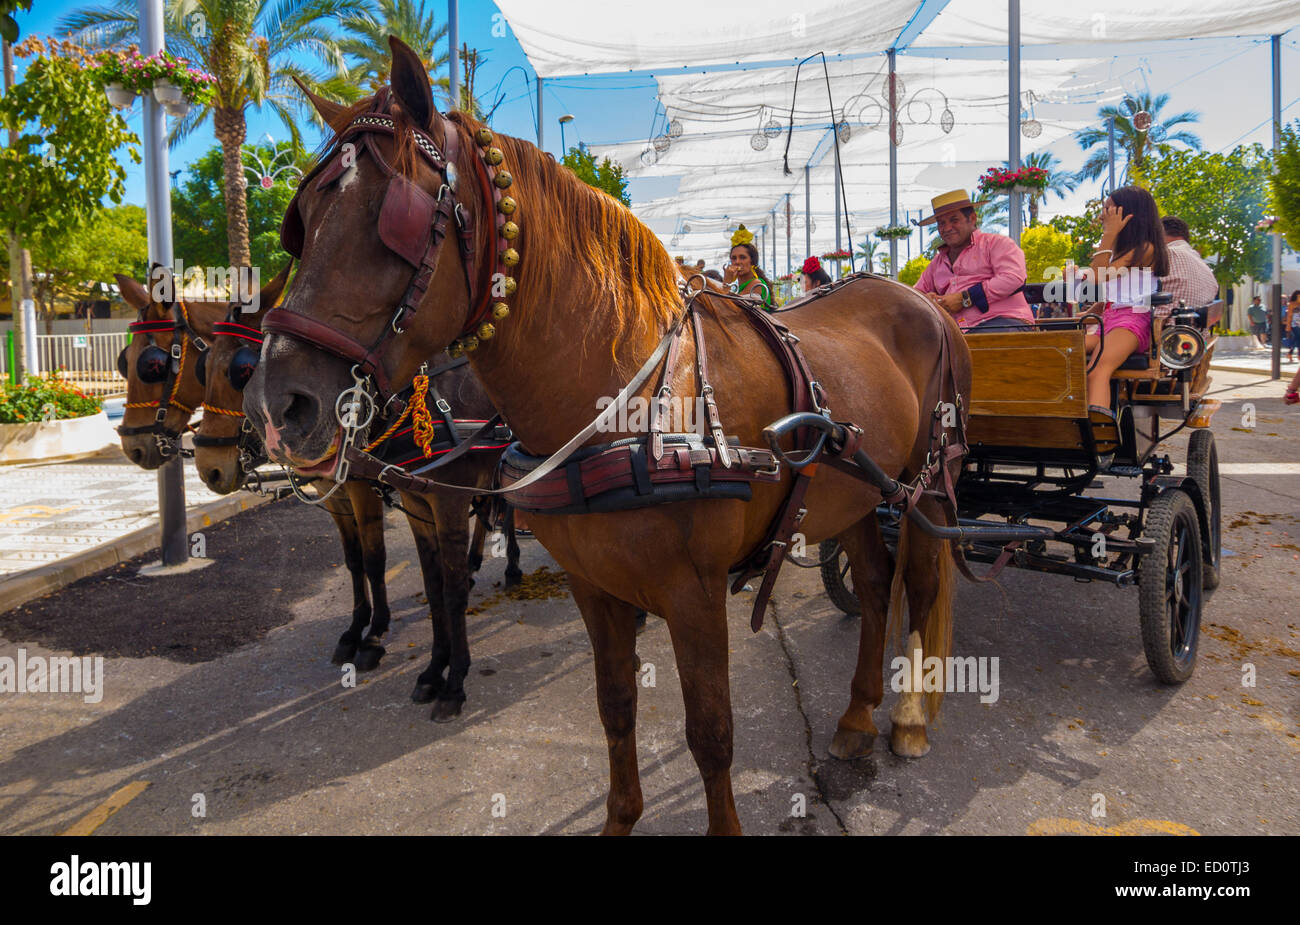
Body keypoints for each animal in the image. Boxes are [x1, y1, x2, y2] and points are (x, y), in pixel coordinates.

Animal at [248, 38, 972, 831]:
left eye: (390, 217)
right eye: (301, 221)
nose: (277, 406)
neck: (629, 403)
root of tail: (920, 300)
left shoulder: (695, 593)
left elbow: (711, 733)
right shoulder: (591, 584)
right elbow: (615, 706)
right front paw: (620, 815)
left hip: (925, 484)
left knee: (921, 584)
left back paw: (909, 718)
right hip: (850, 494)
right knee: (873, 583)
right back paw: (855, 715)